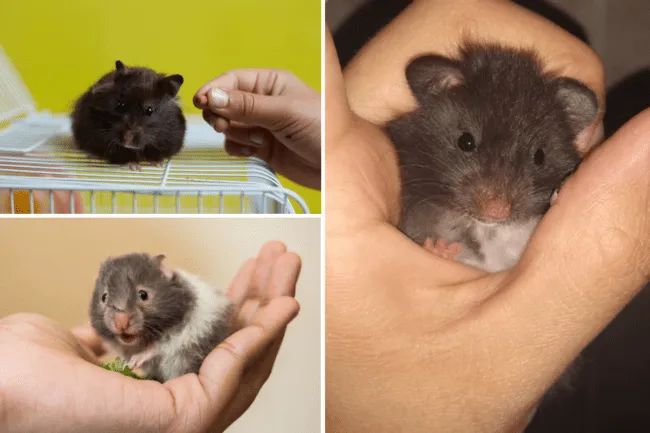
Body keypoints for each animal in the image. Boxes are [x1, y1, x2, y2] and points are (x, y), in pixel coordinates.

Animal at [90, 253, 233, 382]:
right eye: (104, 297)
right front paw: (125, 363)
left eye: (143, 294)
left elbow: (158, 347)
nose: (121, 323)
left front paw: (134, 361)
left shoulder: (181, 333)